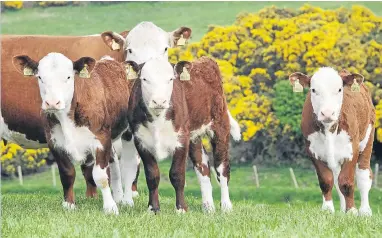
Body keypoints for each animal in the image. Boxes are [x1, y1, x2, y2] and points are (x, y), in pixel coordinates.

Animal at [12, 53, 131, 215]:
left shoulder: (101, 139)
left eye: (68, 77)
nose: (52, 103)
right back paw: (117, 197)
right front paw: (69, 204)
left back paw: (125, 200)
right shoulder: (55, 143)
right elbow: (67, 174)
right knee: (113, 164)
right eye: (40, 77)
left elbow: (100, 175)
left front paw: (109, 207)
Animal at [126, 56, 239, 213]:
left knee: (222, 168)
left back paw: (226, 206)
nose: (159, 101)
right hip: (194, 136)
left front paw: (181, 209)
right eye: (144, 79)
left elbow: (177, 174)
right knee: (202, 167)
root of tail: (206, 61)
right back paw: (208, 206)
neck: (157, 120)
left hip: (220, 127)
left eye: (170, 79)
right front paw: (153, 209)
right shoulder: (141, 141)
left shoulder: (181, 139)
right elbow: (152, 175)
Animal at [290, 67, 374, 216]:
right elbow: (326, 181)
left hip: (367, 140)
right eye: (313, 90)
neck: (328, 129)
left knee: (363, 176)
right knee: (336, 178)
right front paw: (328, 209)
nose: (327, 113)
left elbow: (346, 181)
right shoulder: (313, 151)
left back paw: (364, 211)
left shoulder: (352, 149)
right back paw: (342, 210)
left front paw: (352, 211)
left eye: (339, 89)